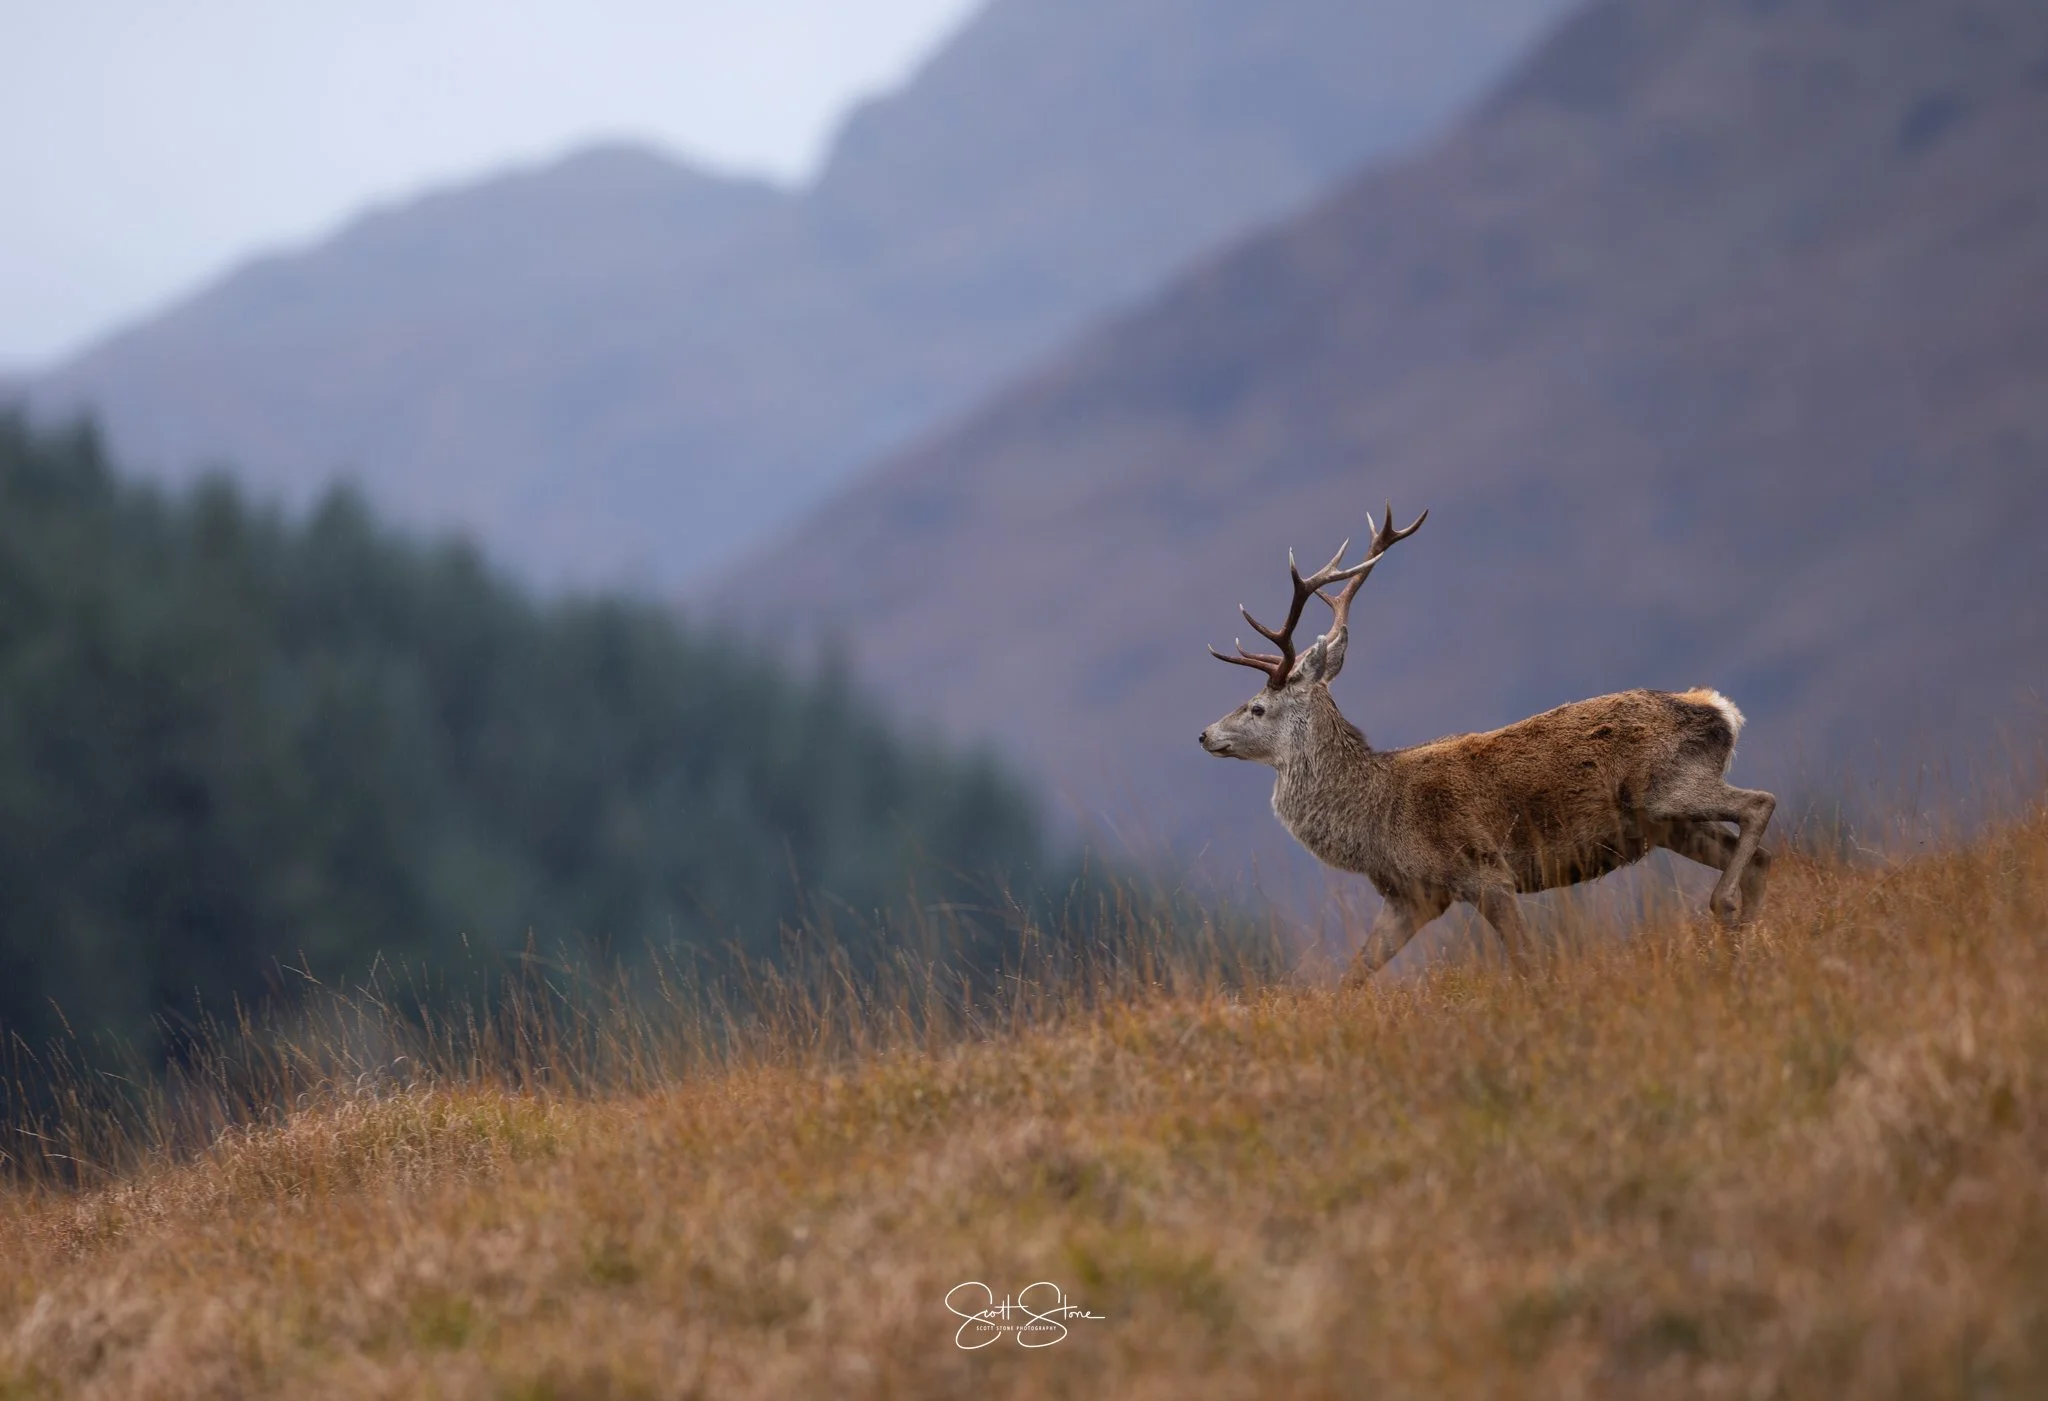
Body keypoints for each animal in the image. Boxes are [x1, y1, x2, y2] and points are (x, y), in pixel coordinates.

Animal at [1198, 504, 1776, 983]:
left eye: (1257, 707)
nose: (1204, 734)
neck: (1378, 819)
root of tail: (1721, 710)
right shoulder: (1412, 897)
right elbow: (1352, 976)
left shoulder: (1484, 871)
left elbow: (1528, 961)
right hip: (1666, 824)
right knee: (1761, 857)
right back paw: (1743, 946)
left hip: (1666, 789)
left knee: (1759, 803)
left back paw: (1726, 911)